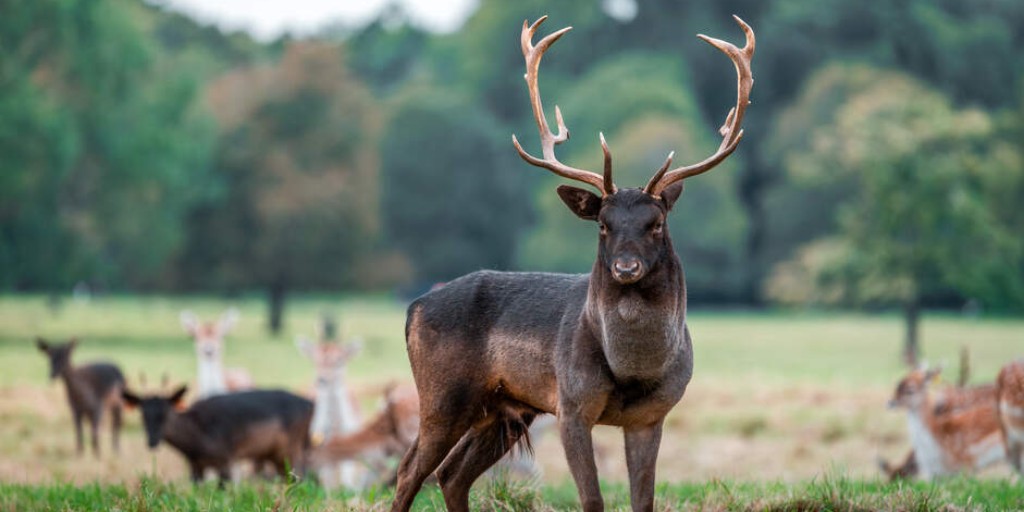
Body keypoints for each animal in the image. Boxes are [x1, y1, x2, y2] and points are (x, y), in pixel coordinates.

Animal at [122, 385, 313, 486]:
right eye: (142, 415)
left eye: (165, 414)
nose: (152, 441)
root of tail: (310, 404)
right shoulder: (195, 466)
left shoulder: (225, 458)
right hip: (275, 455)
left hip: (292, 448)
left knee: (300, 474)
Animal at [295, 327, 364, 490]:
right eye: (314, 360)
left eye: (339, 360)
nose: (322, 379)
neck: (335, 428)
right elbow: (328, 481)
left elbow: (347, 478)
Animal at [390, 15, 754, 512]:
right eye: (602, 223)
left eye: (657, 223)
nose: (625, 268)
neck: (633, 370)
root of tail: (413, 308)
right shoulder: (572, 403)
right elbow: (593, 499)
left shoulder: (652, 416)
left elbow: (643, 500)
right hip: (442, 394)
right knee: (409, 471)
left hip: (503, 408)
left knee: (451, 474)